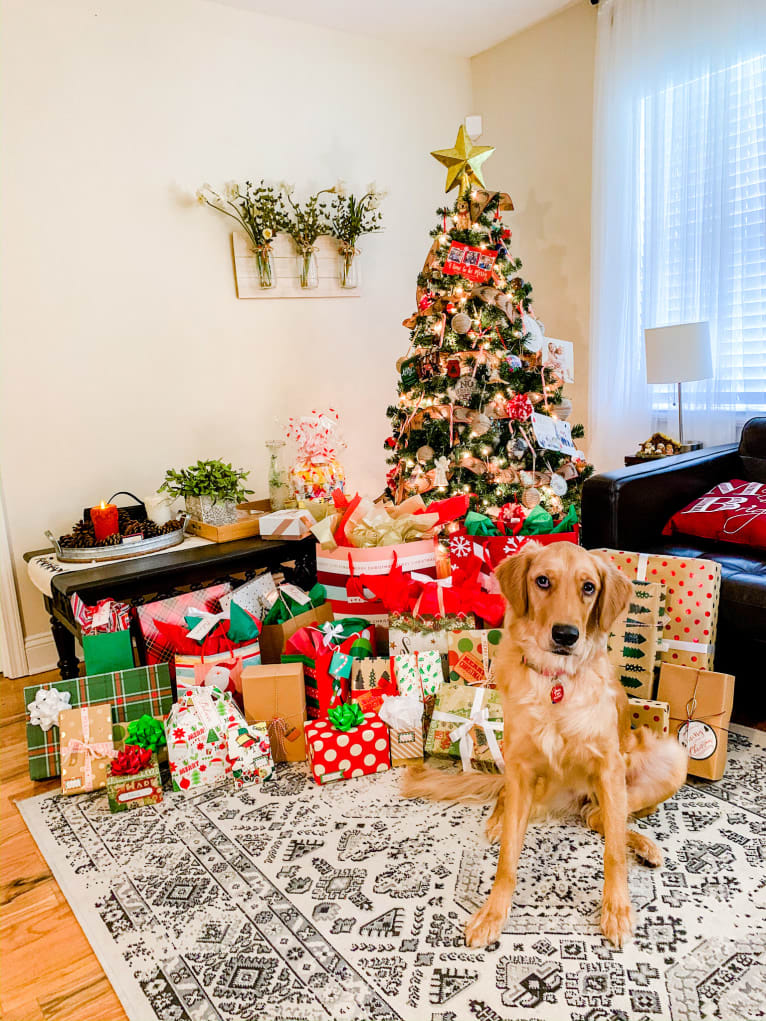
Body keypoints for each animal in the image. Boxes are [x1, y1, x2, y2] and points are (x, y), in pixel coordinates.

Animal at [402, 543, 690, 947]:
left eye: (588, 587)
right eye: (542, 581)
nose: (566, 634)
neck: (557, 683)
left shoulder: (609, 767)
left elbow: (614, 853)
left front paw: (617, 910)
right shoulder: (521, 768)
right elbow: (507, 858)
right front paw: (493, 913)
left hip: (668, 758)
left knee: (603, 820)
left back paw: (643, 845)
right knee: (512, 798)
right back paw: (497, 822)